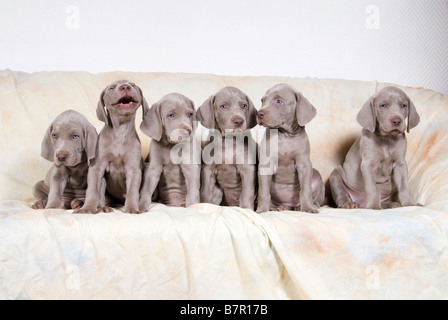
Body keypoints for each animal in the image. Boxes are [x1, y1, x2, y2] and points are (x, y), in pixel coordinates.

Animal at [74, 80, 149, 214]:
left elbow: (132, 191)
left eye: (133, 85)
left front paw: (132, 209)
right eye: (112, 88)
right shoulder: (97, 167)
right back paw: (98, 207)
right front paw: (87, 209)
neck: (120, 132)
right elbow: (93, 190)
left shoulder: (133, 169)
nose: (125, 87)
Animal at [258, 83, 324, 212]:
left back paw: (302, 206)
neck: (285, 135)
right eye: (262, 101)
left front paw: (308, 208)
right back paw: (278, 207)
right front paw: (262, 210)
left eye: (279, 101)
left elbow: (306, 190)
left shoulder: (304, 164)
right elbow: (263, 191)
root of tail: (289, 204)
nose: (259, 113)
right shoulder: (266, 164)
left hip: (317, 175)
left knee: (316, 200)